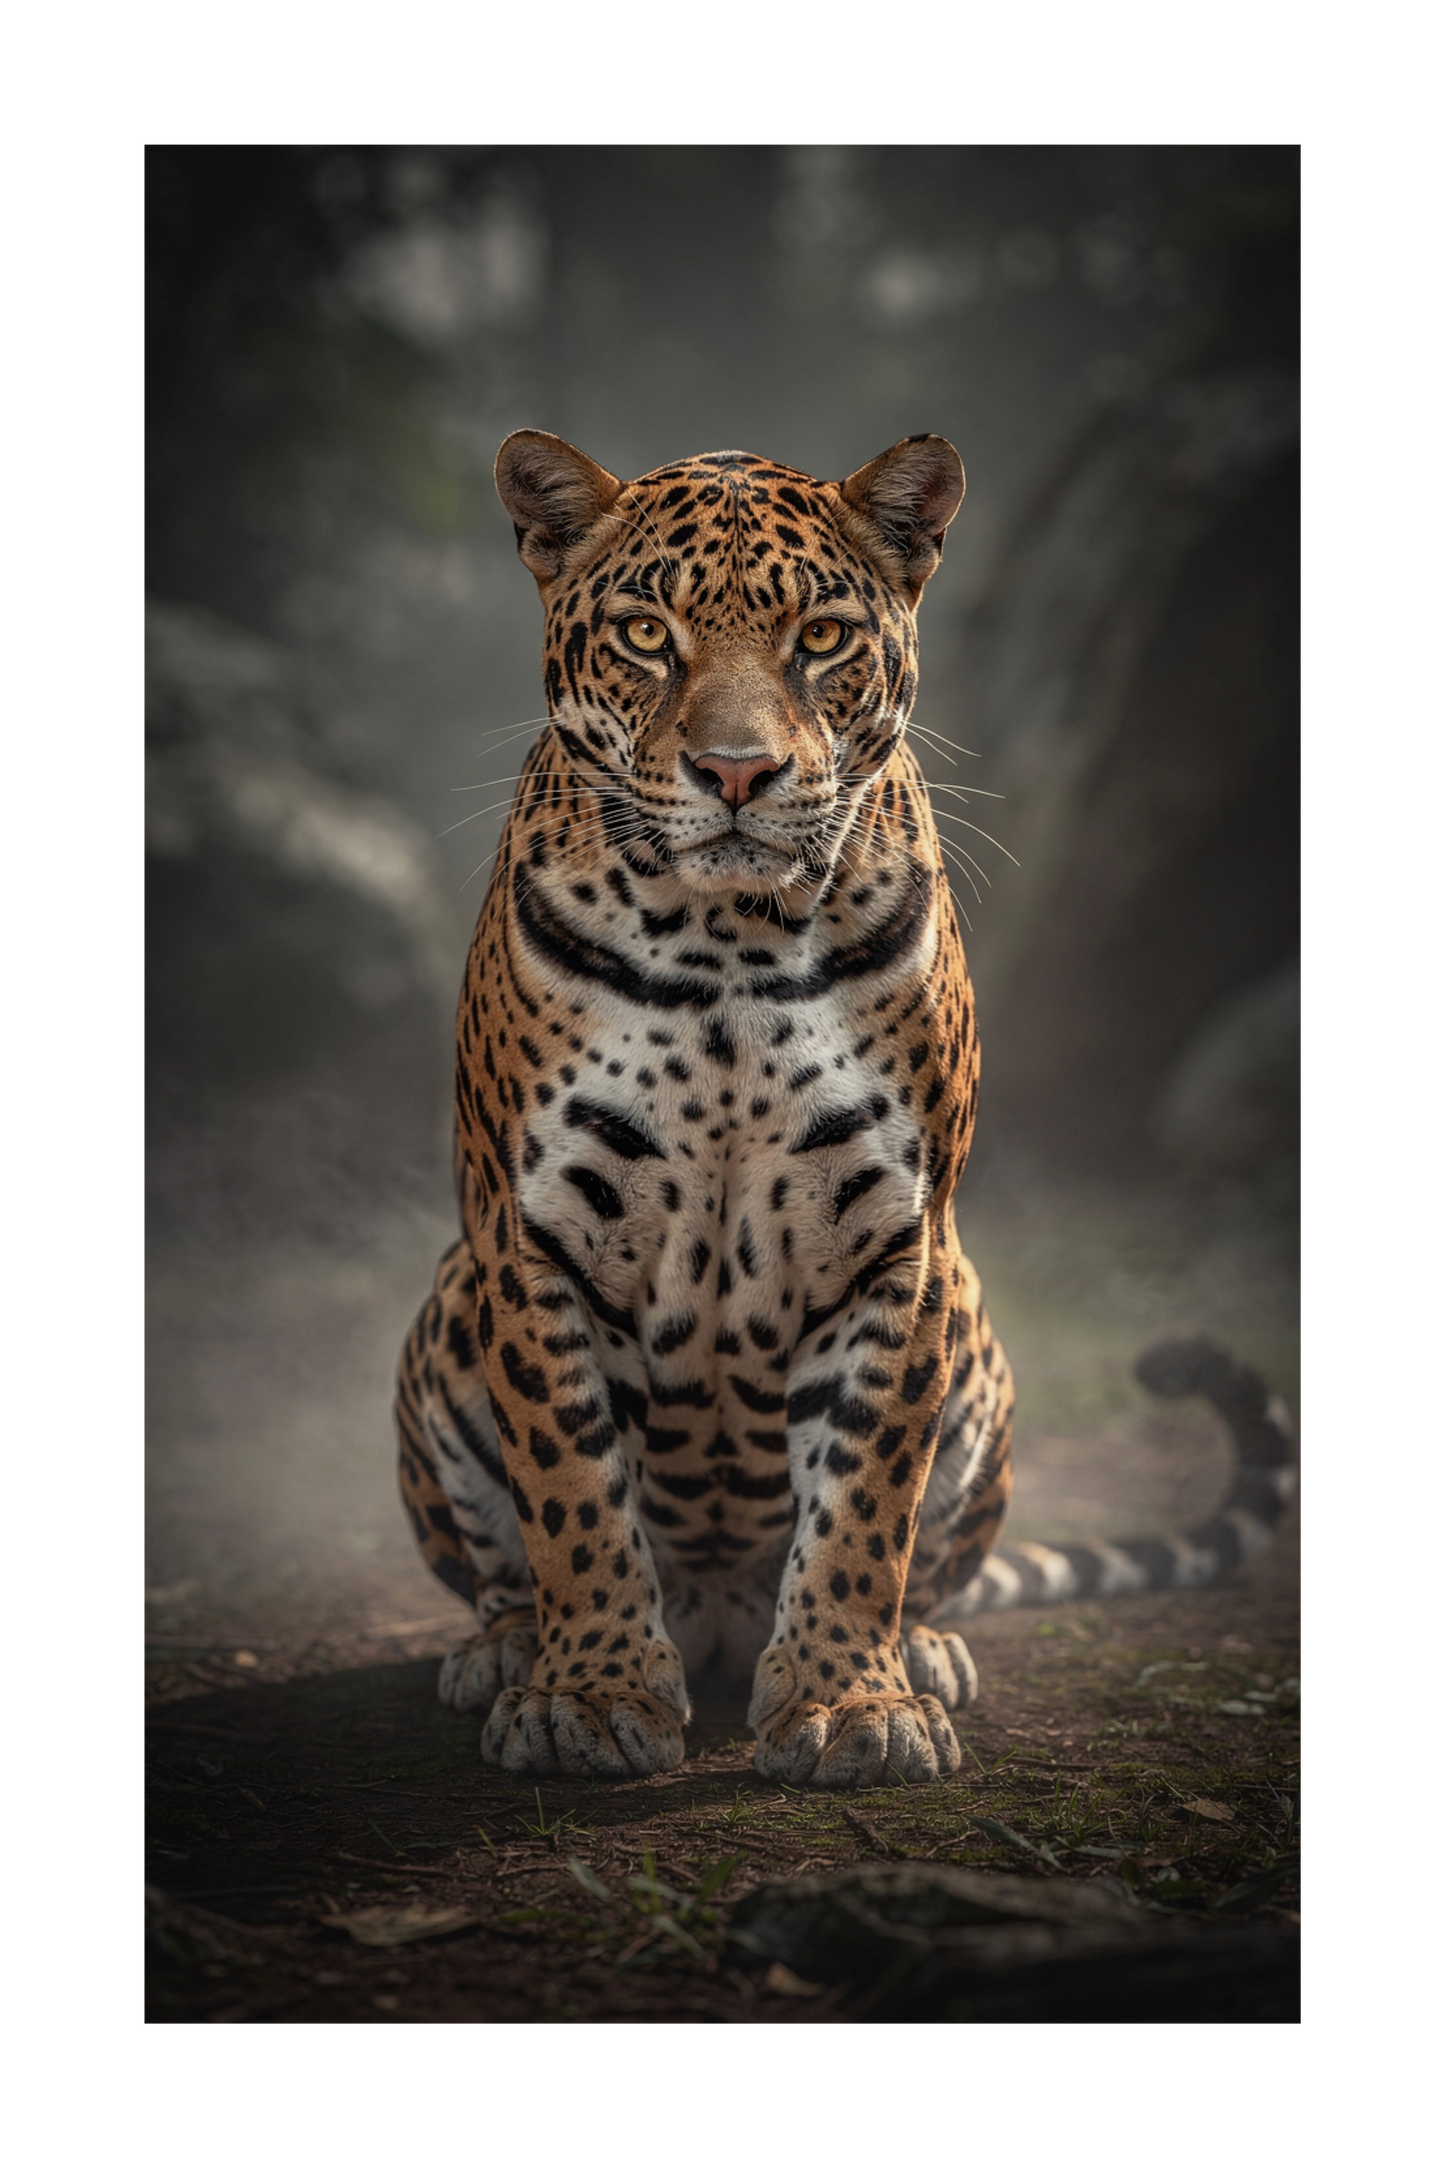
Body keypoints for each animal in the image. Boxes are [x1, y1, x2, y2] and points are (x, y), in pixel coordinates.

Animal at [394, 429, 1296, 1789]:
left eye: (818, 636)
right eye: (646, 632)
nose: (734, 771)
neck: (723, 942)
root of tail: (716, 1618)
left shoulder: (899, 1240)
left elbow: (868, 1492)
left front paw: (848, 1701)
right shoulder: (528, 1231)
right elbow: (570, 1488)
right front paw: (589, 1694)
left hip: (975, 1322)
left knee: (929, 1561)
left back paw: (920, 1647)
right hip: (446, 1304)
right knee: (499, 1561)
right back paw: (505, 1648)